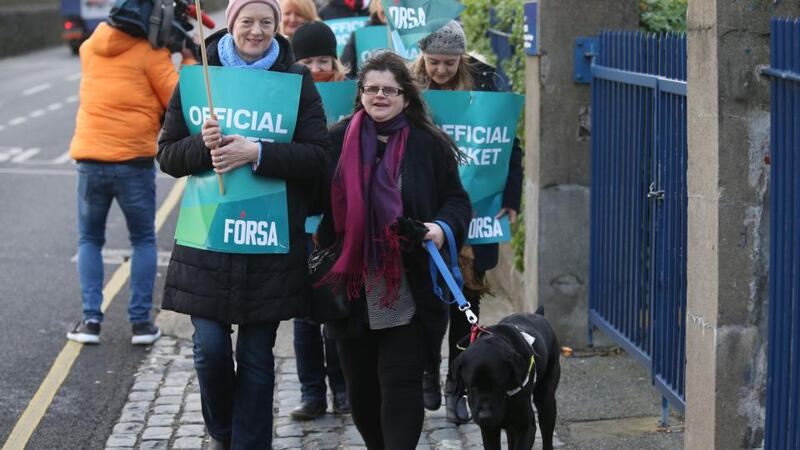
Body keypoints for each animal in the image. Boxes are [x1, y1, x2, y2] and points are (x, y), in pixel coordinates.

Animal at [454, 310, 560, 450]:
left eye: (498, 386)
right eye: (472, 387)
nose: (485, 416)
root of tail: (537, 315)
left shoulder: (526, 427)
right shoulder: (489, 429)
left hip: (546, 399)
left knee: (547, 435)